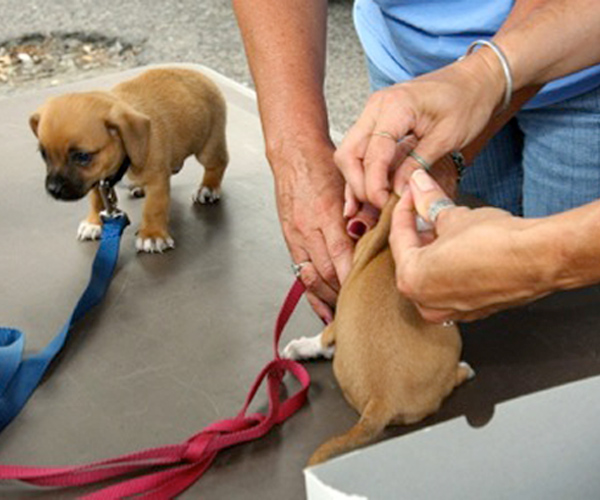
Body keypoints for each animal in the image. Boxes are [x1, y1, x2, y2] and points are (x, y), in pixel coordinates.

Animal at [29, 68, 229, 252]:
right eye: (44, 154)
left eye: (82, 156)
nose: (52, 189)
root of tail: (198, 73)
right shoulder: (96, 179)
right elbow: (96, 199)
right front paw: (93, 222)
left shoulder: (157, 182)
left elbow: (154, 208)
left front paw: (152, 235)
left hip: (208, 148)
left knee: (218, 164)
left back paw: (208, 188)